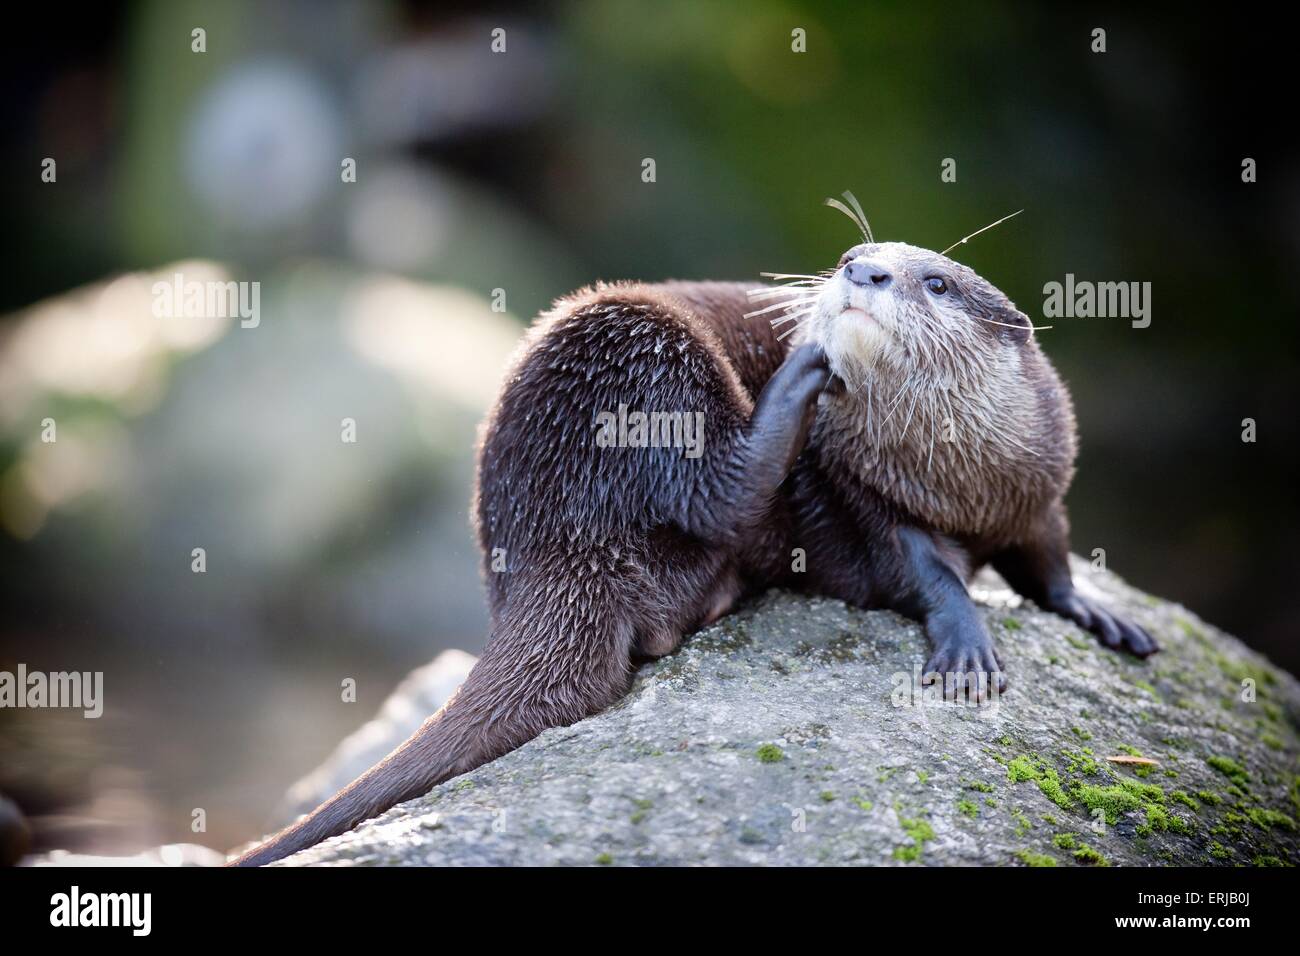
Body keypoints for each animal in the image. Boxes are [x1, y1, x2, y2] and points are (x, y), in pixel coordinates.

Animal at [228, 204, 1154, 868]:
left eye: (935, 282)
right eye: (859, 254)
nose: (861, 270)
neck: (958, 479)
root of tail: (547, 541)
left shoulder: (1038, 484)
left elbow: (1049, 555)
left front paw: (1100, 613)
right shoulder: (865, 500)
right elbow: (923, 571)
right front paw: (966, 641)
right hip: (635, 350)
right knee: (716, 489)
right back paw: (798, 377)